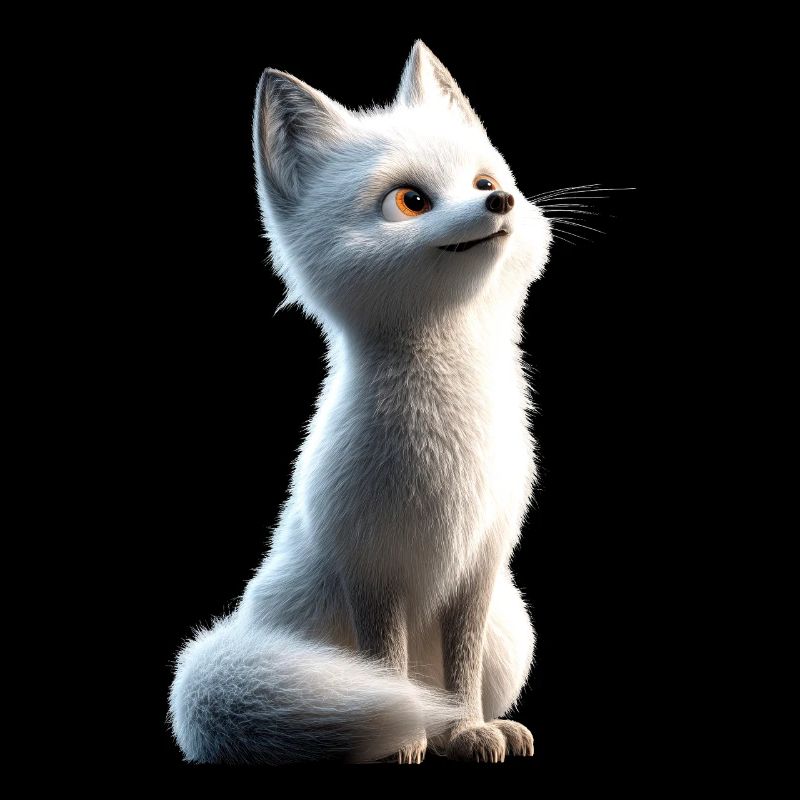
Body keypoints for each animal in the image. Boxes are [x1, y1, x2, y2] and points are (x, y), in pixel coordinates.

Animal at [169, 40, 551, 765]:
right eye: (411, 200)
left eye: (483, 181)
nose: (502, 201)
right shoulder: (371, 566)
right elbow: (385, 664)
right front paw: (411, 738)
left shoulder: (481, 563)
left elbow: (459, 670)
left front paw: (467, 729)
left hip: (511, 626)